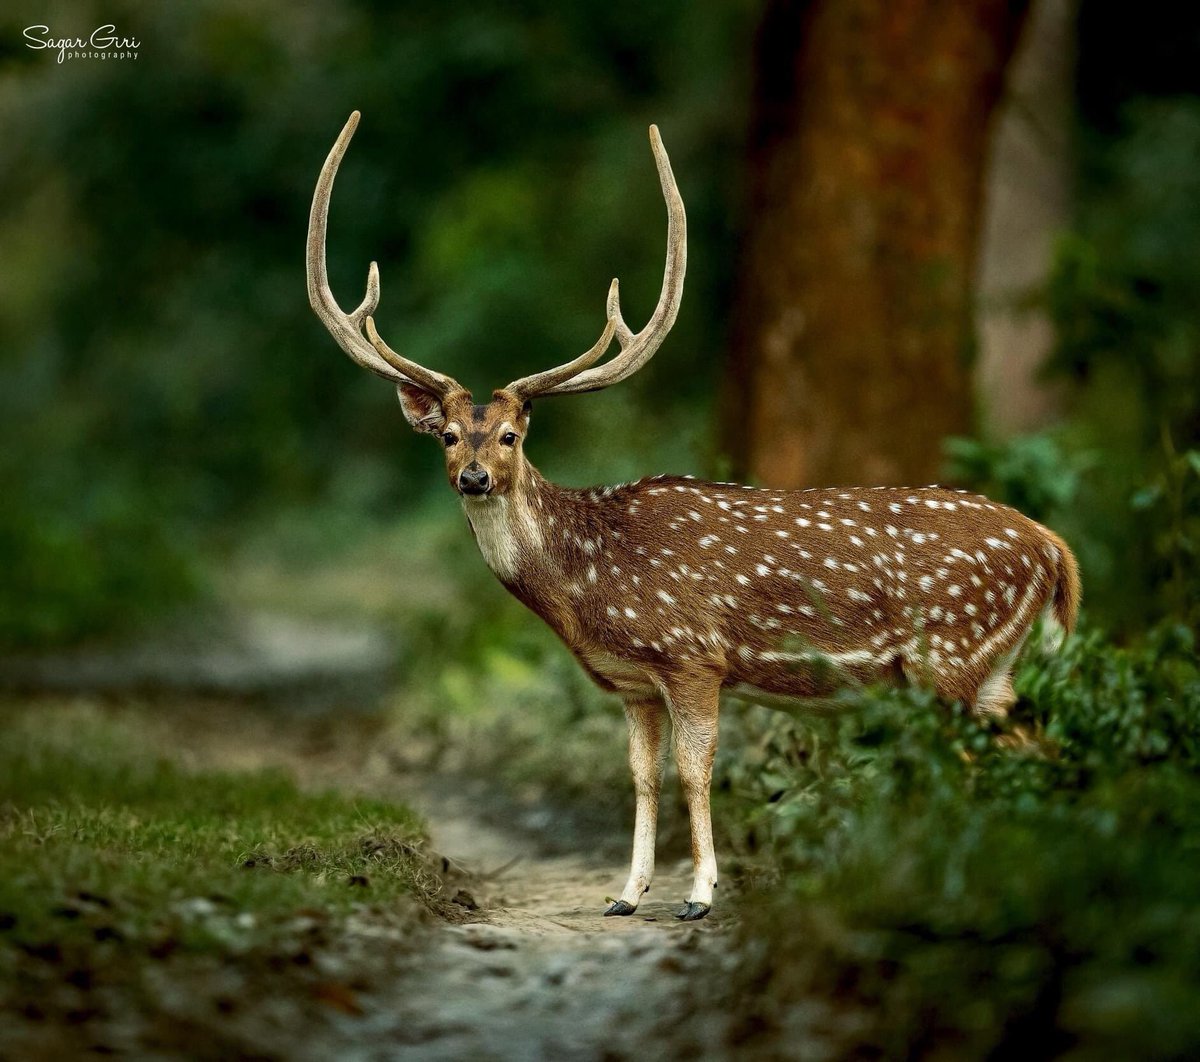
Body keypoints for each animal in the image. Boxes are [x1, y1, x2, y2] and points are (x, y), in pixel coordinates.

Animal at [304, 109, 1084, 921]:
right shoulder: (632, 684)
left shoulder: (692, 655)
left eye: (513, 434)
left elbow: (694, 771)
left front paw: (702, 894)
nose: (476, 477)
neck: (586, 589)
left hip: (951, 655)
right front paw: (626, 894)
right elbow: (642, 777)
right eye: (449, 435)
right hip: (990, 673)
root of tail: (1055, 549)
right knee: (1041, 747)